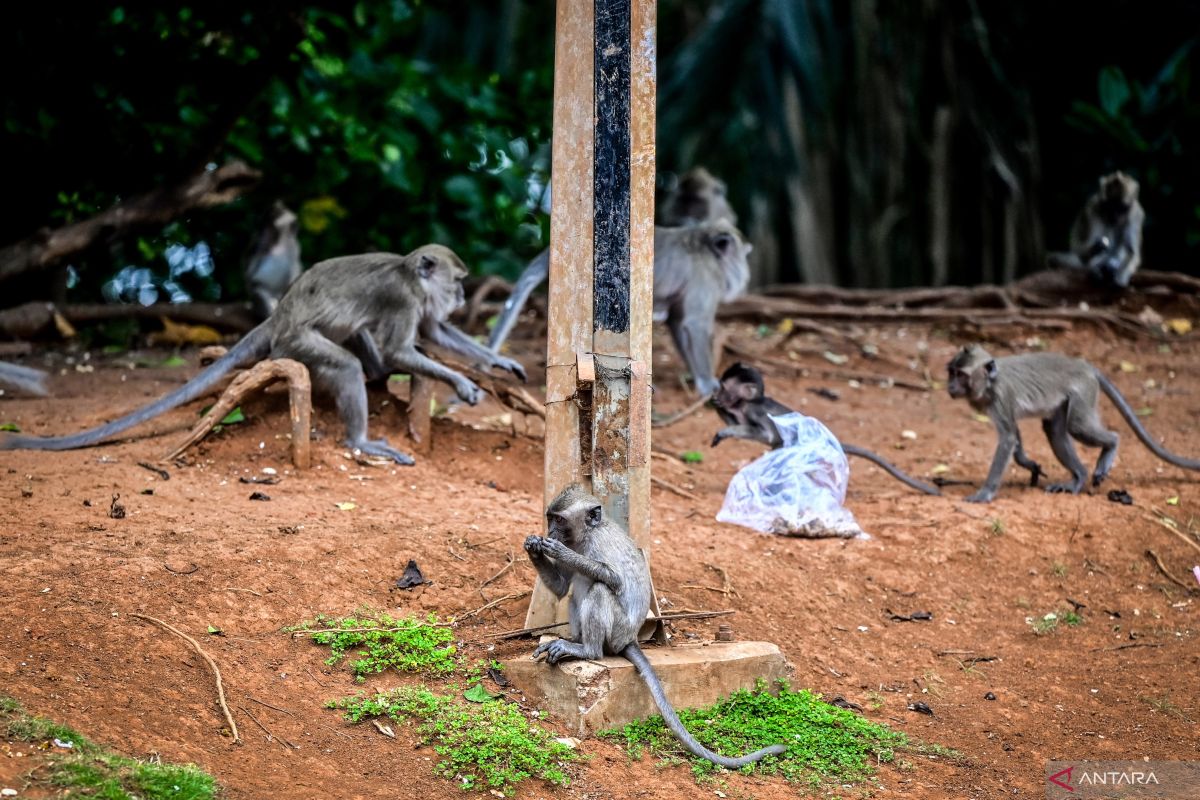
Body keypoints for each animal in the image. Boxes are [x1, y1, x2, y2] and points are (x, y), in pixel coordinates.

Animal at [1, 247, 525, 465]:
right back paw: (360, 439)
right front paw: (461, 382)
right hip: (294, 343)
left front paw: (498, 364)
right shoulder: (402, 299)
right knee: (343, 364)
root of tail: (279, 316)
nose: (463, 295)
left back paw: (376, 370)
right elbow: (407, 343)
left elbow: (436, 330)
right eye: (458, 281)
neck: (409, 274)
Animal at [525, 484, 787, 772]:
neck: (586, 535)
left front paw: (560, 551)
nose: (550, 532)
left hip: (617, 632)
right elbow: (562, 588)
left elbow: (614, 579)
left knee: (600, 589)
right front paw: (533, 547)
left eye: (559, 521)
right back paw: (573, 640)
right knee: (574, 596)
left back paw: (587, 650)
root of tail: (629, 639)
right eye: (551, 518)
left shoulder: (599, 543)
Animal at [705, 362, 940, 494]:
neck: (749, 402)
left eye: (724, 387)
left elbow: (765, 433)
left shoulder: (755, 410)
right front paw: (715, 406)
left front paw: (723, 429)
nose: (717, 395)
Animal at [945, 343, 1200, 503]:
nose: (950, 386)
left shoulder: (1001, 396)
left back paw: (1111, 445)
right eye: (951, 372)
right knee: (1055, 431)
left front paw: (985, 493)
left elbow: (1007, 438)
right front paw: (1028, 464)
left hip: (1084, 389)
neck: (990, 383)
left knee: (1077, 426)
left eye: (961, 375)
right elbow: (1013, 434)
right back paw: (1078, 478)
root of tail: (1083, 364)